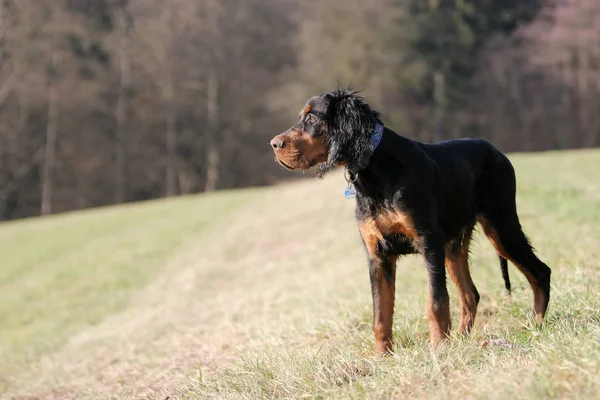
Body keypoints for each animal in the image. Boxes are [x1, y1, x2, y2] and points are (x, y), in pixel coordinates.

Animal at [270, 88, 552, 354]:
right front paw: (381, 356)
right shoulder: (378, 255)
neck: (375, 171)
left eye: (312, 117)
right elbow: (380, 312)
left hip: (501, 225)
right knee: (470, 294)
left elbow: (436, 301)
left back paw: (535, 327)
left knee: (540, 272)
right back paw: (463, 340)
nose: (273, 144)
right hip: (455, 244)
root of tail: (496, 151)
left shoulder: (429, 242)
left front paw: (438, 348)